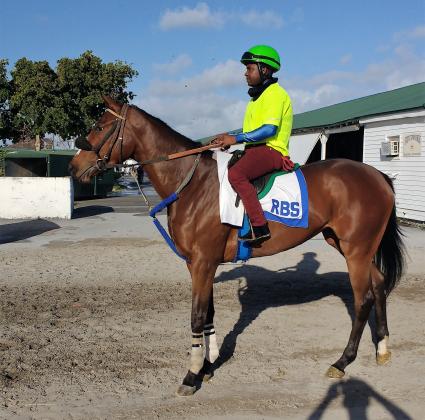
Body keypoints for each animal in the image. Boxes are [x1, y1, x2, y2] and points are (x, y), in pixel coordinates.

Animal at [68, 97, 404, 398]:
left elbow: (197, 315)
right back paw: (382, 347)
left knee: (362, 300)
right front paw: (208, 364)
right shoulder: (199, 264)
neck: (193, 184)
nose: (73, 166)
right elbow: (209, 313)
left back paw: (343, 360)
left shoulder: (203, 262)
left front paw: (191, 375)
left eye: (100, 126)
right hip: (350, 246)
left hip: (356, 250)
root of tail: (378, 175)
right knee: (379, 285)